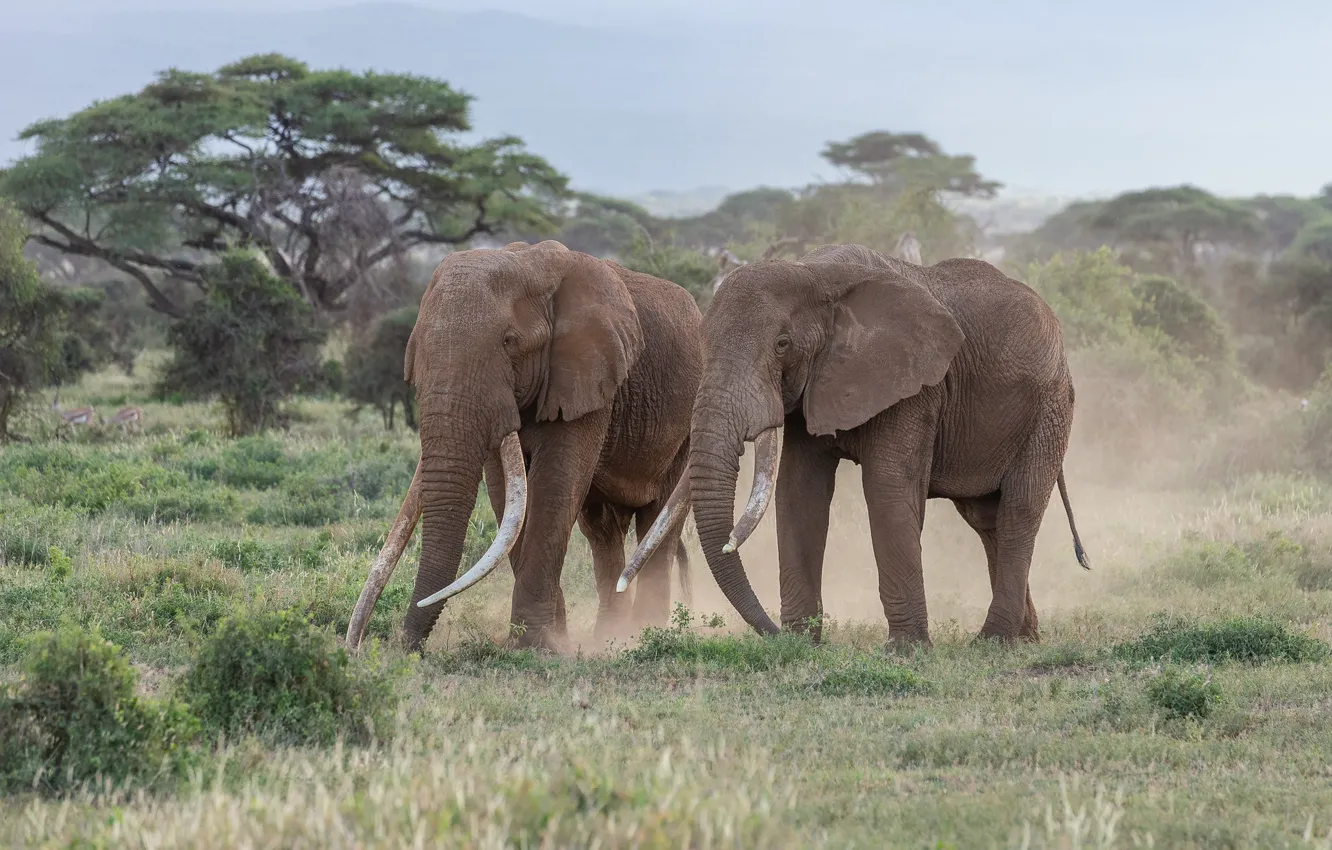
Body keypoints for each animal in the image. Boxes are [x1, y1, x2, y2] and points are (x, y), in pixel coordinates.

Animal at [346, 240, 703, 653]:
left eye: (509, 343)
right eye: (416, 346)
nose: (401, 647)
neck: (528, 262)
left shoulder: (587, 376)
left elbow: (553, 488)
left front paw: (537, 646)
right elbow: (507, 496)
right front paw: (547, 640)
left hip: (687, 423)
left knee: (657, 519)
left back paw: (644, 635)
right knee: (601, 530)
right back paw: (607, 636)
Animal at [619, 243, 1089, 646]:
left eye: (782, 344)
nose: (772, 631)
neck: (815, 273)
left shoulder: (915, 385)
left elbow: (887, 491)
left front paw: (905, 651)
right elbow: (799, 492)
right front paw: (800, 645)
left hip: (1049, 407)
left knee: (1018, 511)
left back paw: (992, 642)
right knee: (985, 519)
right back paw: (1022, 639)